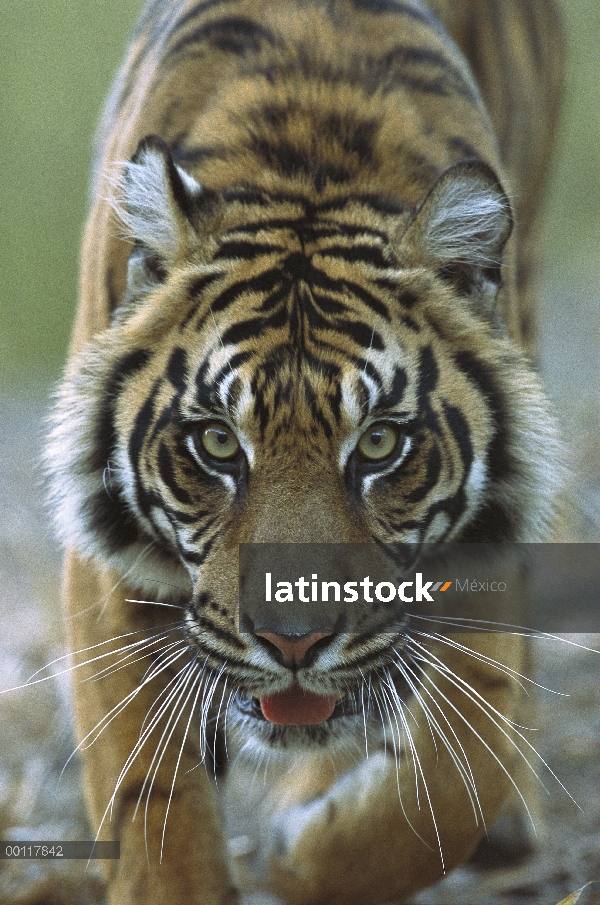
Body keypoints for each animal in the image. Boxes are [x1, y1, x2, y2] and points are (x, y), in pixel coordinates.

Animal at [44, 0, 564, 900]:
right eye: (218, 442)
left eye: (380, 442)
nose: (292, 643)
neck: (308, 167)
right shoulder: (110, 571)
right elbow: (154, 811)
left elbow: (461, 761)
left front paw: (305, 857)